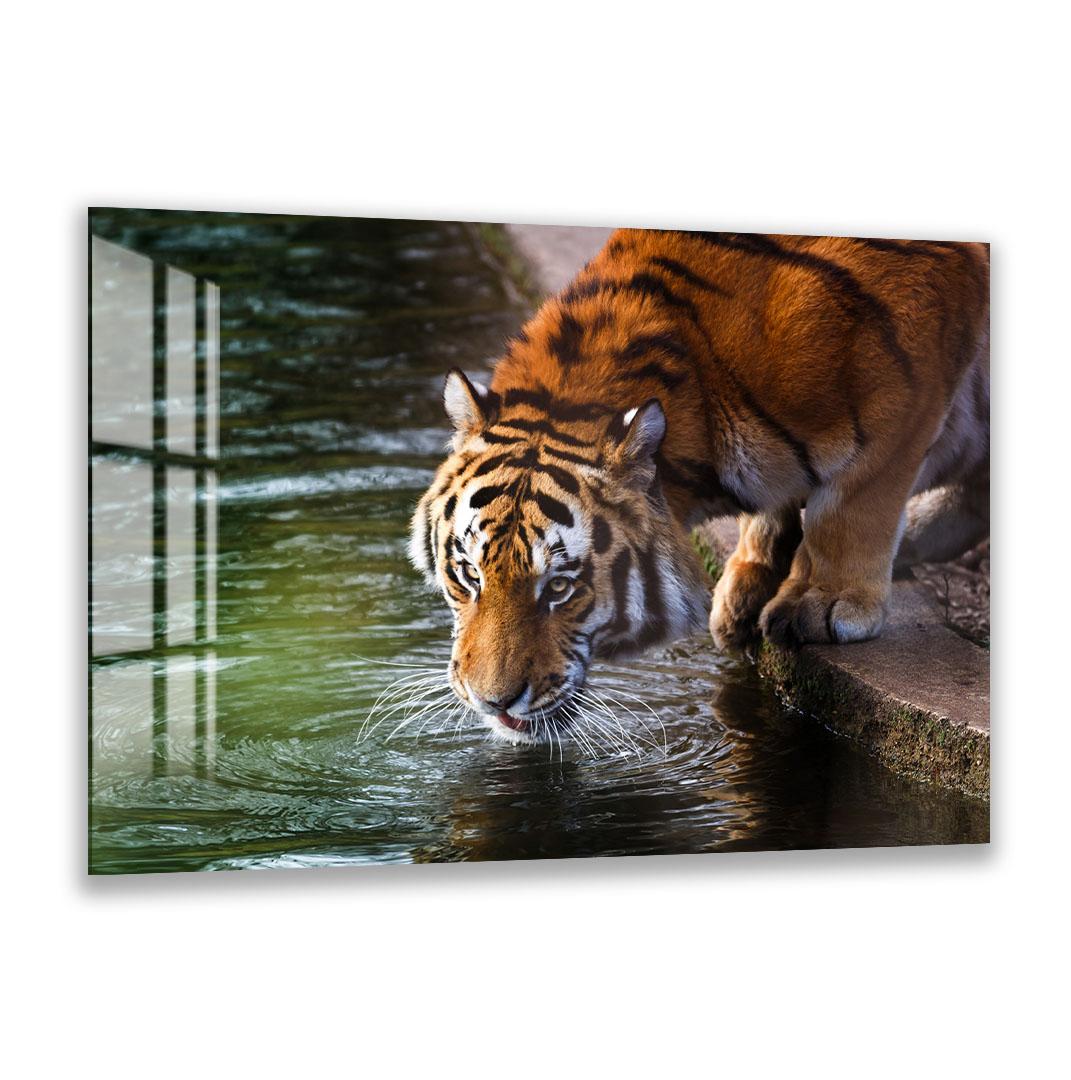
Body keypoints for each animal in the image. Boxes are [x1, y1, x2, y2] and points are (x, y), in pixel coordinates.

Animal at [409, 229, 989, 745]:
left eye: (559, 588)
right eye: (468, 576)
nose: (493, 703)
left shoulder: (909, 385)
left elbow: (853, 502)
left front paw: (822, 600)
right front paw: (749, 582)